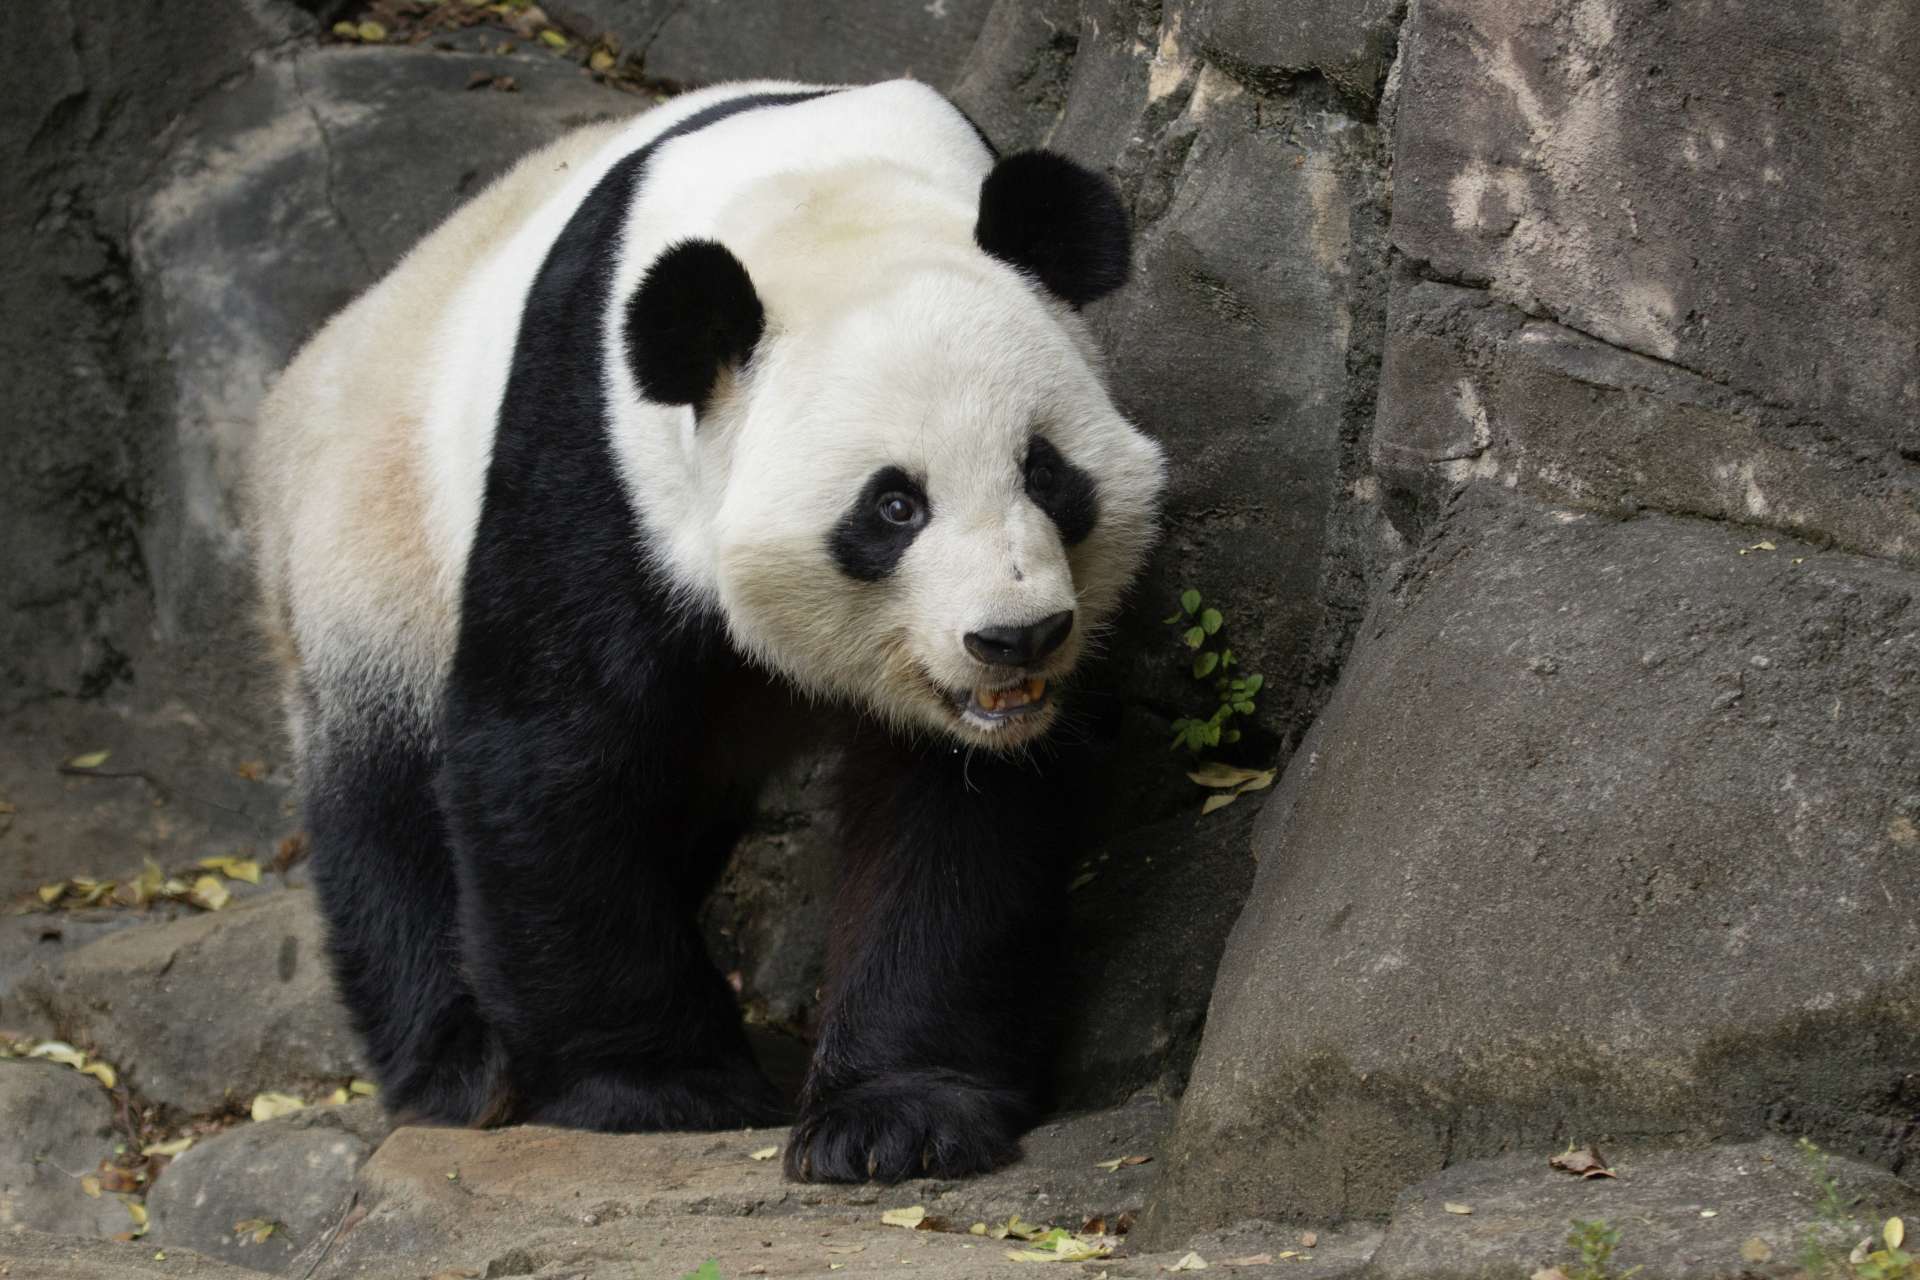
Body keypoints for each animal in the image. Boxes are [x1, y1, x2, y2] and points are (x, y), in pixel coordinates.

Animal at [248, 78, 1166, 1182]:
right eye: (893, 506)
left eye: (1045, 472)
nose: (1017, 637)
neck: (822, 194)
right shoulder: (596, 461)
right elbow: (550, 755)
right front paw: (659, 1088)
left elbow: (956, 810)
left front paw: (895, 1118)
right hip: (371, 550)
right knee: (385, 806)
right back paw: (462, 1063)